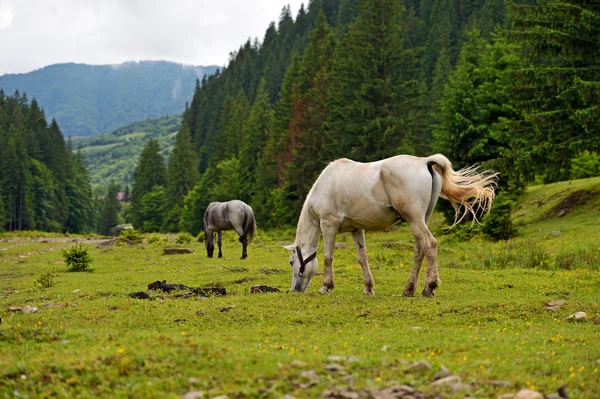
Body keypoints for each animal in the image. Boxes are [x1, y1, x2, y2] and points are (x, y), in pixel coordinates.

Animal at [284, 155, 496, 298]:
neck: (325, 187)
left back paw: (429, 287)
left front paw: (326, 286)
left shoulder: (329, 225)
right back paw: (409, 289)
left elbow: (328, 257)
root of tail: (424, 161)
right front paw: (368, 288)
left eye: (292, 262)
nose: (295, 290)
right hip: (421, 219)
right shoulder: (356, 229)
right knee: (420, 250)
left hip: (414, 218)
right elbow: (362, 258)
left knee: (429, 244)